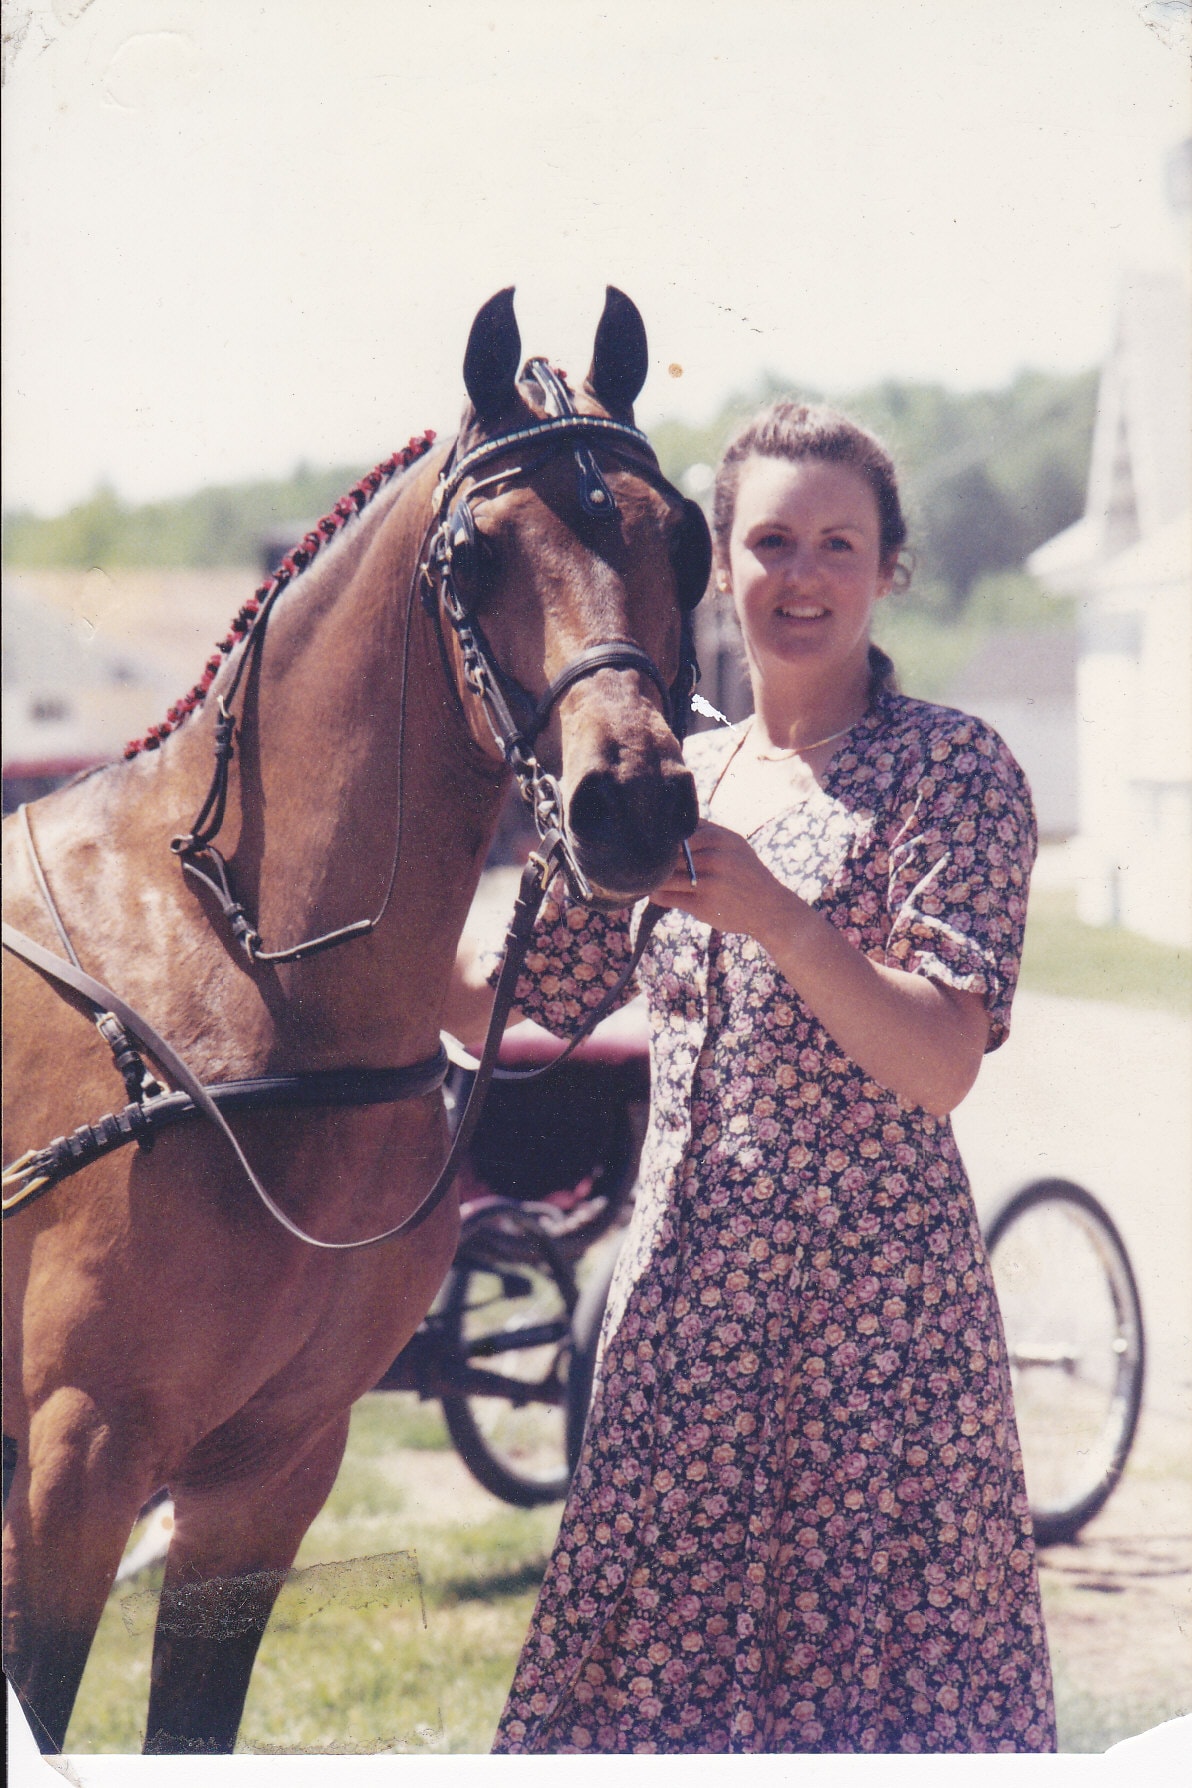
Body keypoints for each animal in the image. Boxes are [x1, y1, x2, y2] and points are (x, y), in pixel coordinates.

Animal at [1, 285, 709, 1754]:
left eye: (686, 539)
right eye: (477, 555)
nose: (631, 803)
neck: (240, 975)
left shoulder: (265, 1473)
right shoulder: (73, 1462)